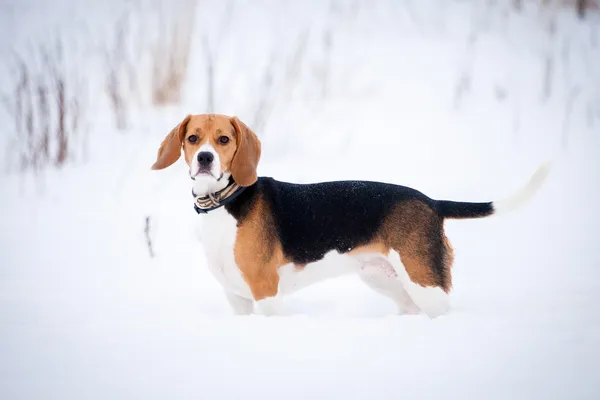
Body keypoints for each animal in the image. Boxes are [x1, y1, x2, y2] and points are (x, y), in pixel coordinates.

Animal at [152, 114, 552, 318]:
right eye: (192, 138)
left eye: (223, 139)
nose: (205, 158)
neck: (225, 201)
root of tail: (431, 202)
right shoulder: (237, 300)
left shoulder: (266, 294)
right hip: (387, 281)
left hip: (426, 285)